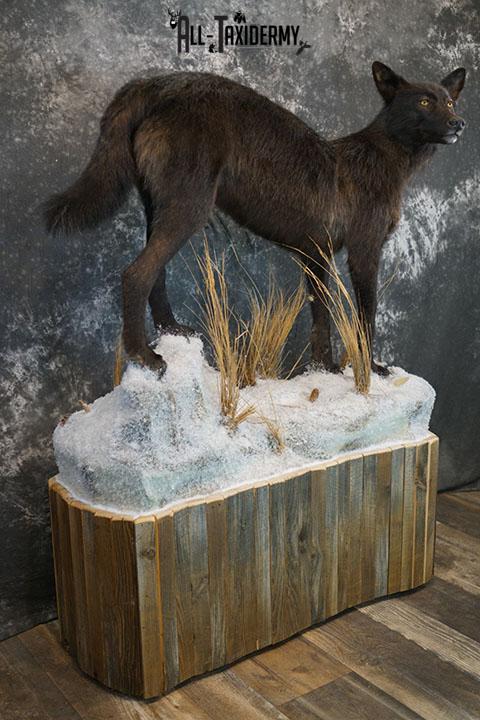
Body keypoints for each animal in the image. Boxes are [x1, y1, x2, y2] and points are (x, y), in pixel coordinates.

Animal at [44, 62, 466, 376]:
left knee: (155, 275)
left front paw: (325, 370)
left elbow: (321, 320)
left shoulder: (316, 256)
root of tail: (158, 83)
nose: (459, 124)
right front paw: (370, 369)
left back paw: (171, 333)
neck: (381, 157)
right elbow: (366, 317)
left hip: (161, 209)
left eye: (449, 102)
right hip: (189, 210)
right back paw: (145, 356)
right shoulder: (364, 253)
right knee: (135, 274)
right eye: (425, 101)